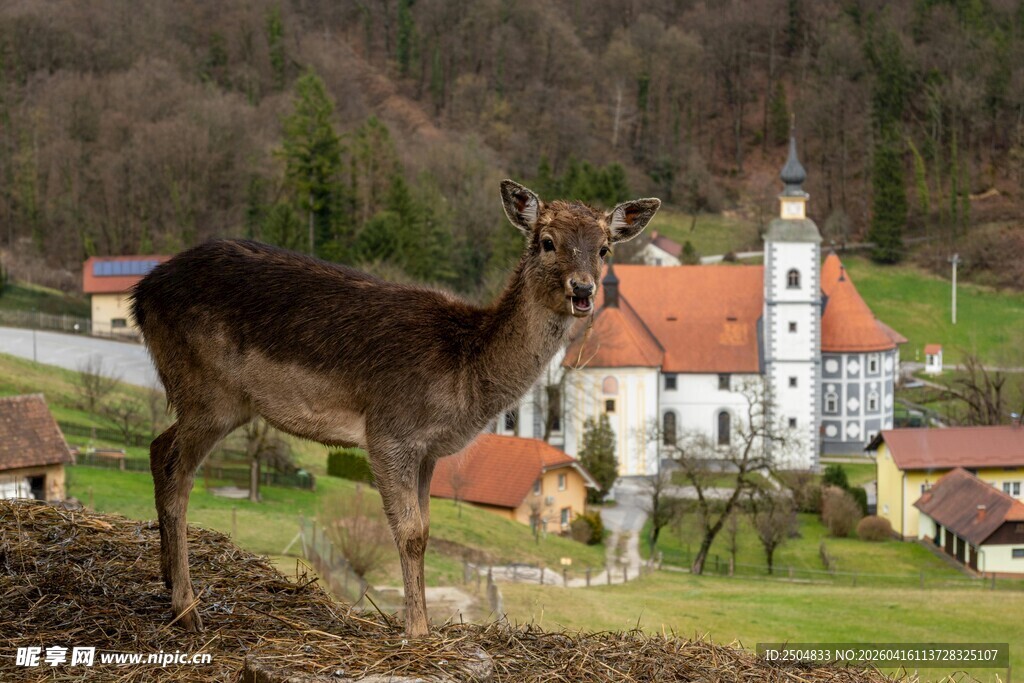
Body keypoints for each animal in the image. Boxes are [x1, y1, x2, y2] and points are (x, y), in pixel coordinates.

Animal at [130, 180, 659, 637]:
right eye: (548, 242)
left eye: (605, 248)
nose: (583, 290)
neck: (464, 377)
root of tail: (141, 294)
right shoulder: (389, 432)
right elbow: (409, 532)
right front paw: (417, 631)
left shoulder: (428, 452)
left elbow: (426, 528)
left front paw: (423, 624)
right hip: (209, 391)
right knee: (176, 468)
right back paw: (187, 609)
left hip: (219, 400)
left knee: (157, 447)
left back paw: (166, 579)